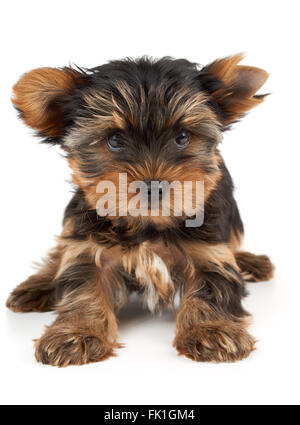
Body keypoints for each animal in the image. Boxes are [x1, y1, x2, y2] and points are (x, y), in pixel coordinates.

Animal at [6, 53, 274, 364]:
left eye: (182, 137)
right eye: (114, 140)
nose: (153, 187)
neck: (148, 225)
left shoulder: (210, 249)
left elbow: (213, 286)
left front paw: (212, 330)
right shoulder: (88, 243)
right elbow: (82, 282)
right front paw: (76, 334)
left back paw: (252, 262)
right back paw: (38, 285)